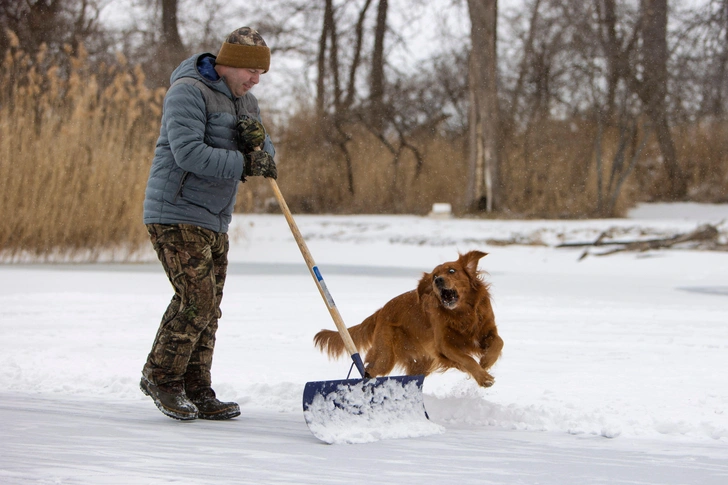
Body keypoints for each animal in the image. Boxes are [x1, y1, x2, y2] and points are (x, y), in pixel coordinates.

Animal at [312, 251, 500, 388]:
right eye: (434, 276)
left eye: (452, 271)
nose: (438, 280)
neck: (462, 314)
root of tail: (381, 310)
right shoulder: (445, 345)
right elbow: (468, 360)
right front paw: (484, 378)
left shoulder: (487, 329)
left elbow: (498, 344)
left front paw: (486, 361)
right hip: (385, 355)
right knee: (368, 370)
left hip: (421, 362)